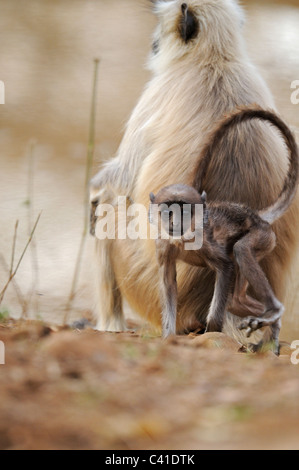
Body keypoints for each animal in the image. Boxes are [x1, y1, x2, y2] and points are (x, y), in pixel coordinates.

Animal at [150, 107, 299, 352]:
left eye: (184, 210)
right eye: (168, 209)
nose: (175, 222)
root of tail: (256, 216)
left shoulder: (206, 240)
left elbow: (225, 267)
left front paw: (212, 331)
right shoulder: (163, 245)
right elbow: (169, 282)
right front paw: (168, 336)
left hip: (263, 237)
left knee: (241, 250)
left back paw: (274, 312)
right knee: (236, 301)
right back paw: (271, 326)